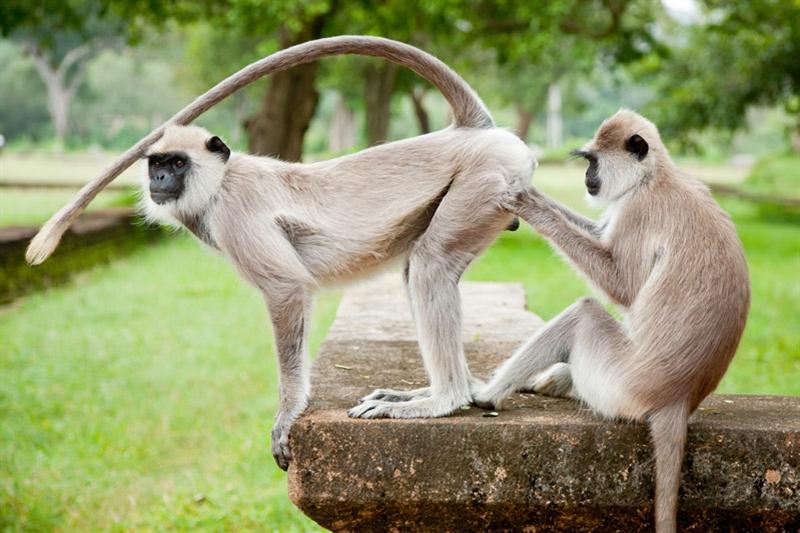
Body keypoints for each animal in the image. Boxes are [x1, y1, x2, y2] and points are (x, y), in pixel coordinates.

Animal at [28, 35, 536, 470]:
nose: (160, 180)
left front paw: (288, 416)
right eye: (156, 164)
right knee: (418, 269)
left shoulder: (235, 217)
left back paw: (442, 400)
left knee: (430, 266)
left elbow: (287, 290)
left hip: (483, 181)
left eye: (176, 163)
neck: (221, 184)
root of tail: (469, 133)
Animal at [476, 109, 752, 532]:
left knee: (584, 314)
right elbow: (598, 232)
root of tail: (679, 398)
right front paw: (533, 194)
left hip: (621, 382)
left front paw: (529, 206)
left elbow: (622, 287)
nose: (588, 178)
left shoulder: (640, 210)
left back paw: (485, 395)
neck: (655, 177)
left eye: (593, 161)